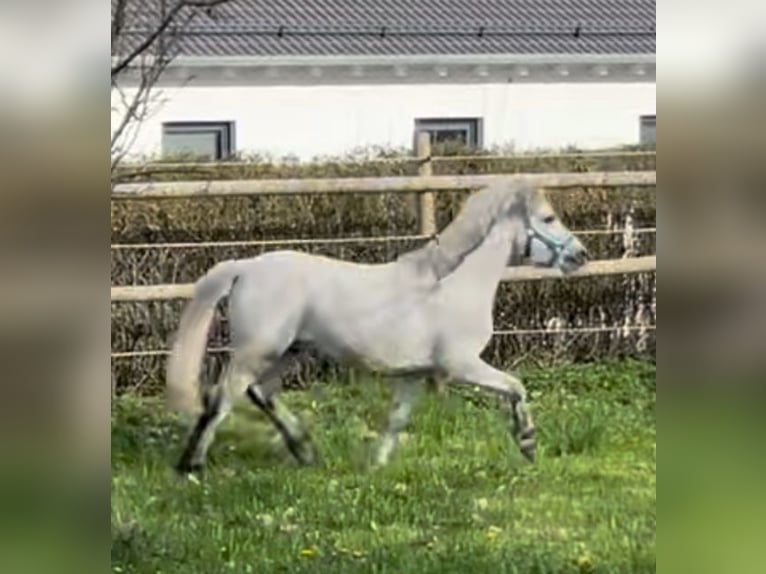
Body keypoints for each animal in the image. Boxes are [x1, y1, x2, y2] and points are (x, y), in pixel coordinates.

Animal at [166, 182, 588, 474]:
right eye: (548, 218)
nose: (581, 255)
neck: (453, 285)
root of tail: (246, 267)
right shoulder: (462, 366)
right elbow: (516, 387)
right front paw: (528, 444)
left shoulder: (413, 375)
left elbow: (397, 419)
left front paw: (376, 467)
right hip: (259, 349)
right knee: (222, 397)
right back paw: (192, 466)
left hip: (289, 350)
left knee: (260, 392)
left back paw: (306, 452)